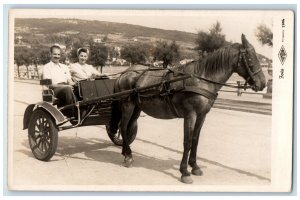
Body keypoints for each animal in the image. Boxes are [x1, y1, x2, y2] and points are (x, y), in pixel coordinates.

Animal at [109, 33, 266, 184]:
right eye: (250, 57)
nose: (263, 83)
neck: (201, 79)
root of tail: (124, 73)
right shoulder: (190, 114)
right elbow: (188, 141)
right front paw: (184, 172)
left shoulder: (202, 115)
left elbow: (195, 139)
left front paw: (195, 166)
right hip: (127, 106)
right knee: (123, 127)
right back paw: (128, 156)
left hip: (137, 108)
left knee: (129, 127)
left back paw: (126, 152)